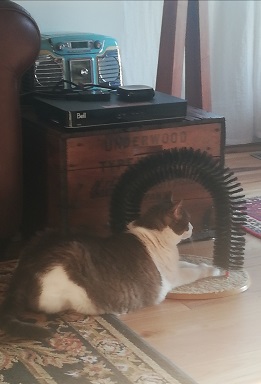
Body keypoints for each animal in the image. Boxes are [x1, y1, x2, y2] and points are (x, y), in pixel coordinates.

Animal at [0, 200, 219, 338]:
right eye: (187, 220)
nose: (193, 227)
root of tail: (25, 268)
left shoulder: (175, 267)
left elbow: (190, 263)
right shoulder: (172, 276)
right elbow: (196, 270)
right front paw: (215, 270)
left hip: (44, 233)